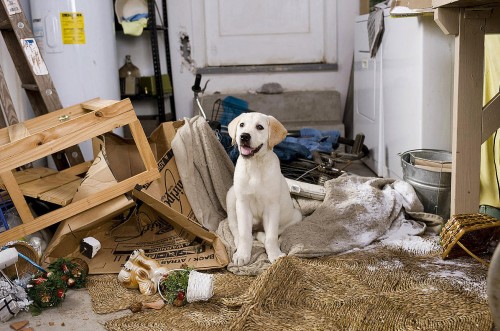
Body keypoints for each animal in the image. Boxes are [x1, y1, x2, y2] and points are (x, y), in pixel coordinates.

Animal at [226, 112, 300, 268]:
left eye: (260, 127)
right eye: (242, 125)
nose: (244, 136)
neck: (255, 165)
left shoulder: (272, 207)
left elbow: (271, 236)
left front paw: (275, 254)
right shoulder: (243, 204)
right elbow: (244, 233)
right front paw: (243, 254)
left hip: (296, 215)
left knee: (271, 233)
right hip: (231, 196)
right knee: (235, 227)